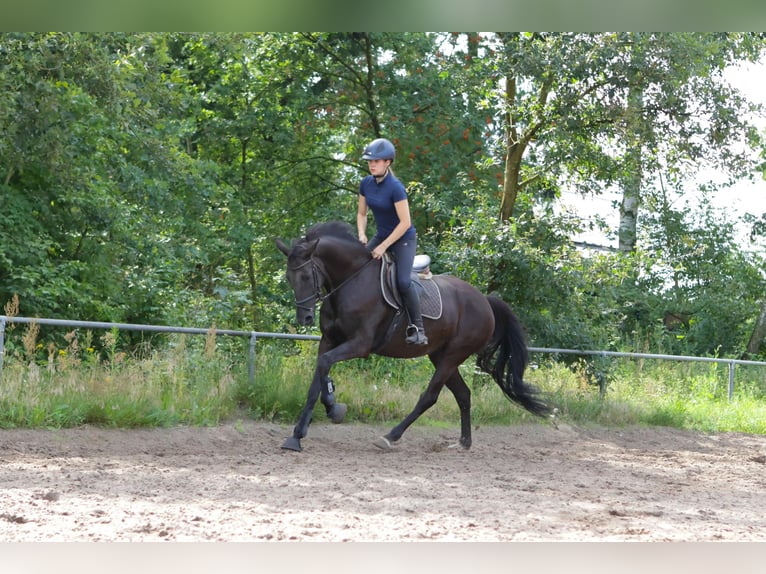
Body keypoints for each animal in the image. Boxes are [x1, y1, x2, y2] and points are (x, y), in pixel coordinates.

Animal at [276, 223, 552, 452]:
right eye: (289, 278)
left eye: (305, 276)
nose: (305, 318)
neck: (351, 281)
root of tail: (484, 300)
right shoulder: (328, 341)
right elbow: (317, 380)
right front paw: (298, 435)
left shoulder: (360, 345)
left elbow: (324, 367)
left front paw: (334, 411)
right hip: (440, 355)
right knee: (463, 394)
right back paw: (463, 442)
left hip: (453, 355)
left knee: (430, 396)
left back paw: (390, 436)